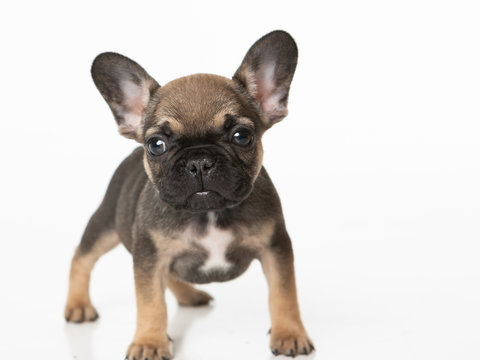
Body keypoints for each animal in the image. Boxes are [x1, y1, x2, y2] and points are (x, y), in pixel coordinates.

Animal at [64, 30, 316, 358]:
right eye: (156, 145)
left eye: (242, 136)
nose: (199, 161)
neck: (209, 214)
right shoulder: (150, 257)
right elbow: (151, 303)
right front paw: (149, 342)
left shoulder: (275, 248)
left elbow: (284, 293)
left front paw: (289, 333)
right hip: (107, 223)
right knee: (82, 256)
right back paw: (78, 305)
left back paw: (189, 295)